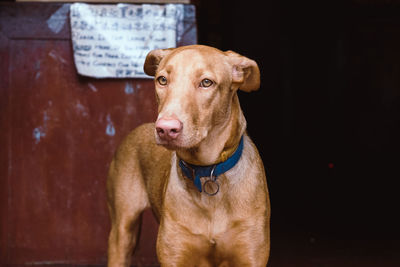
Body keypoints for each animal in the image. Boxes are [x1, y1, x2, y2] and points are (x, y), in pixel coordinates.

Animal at [106, 45, 270, 266]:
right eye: (162, 80)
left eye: (207, 82)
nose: (166, 129)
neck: (207, 172)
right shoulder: (174, 258)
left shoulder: (250, 258)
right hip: (122, 233)